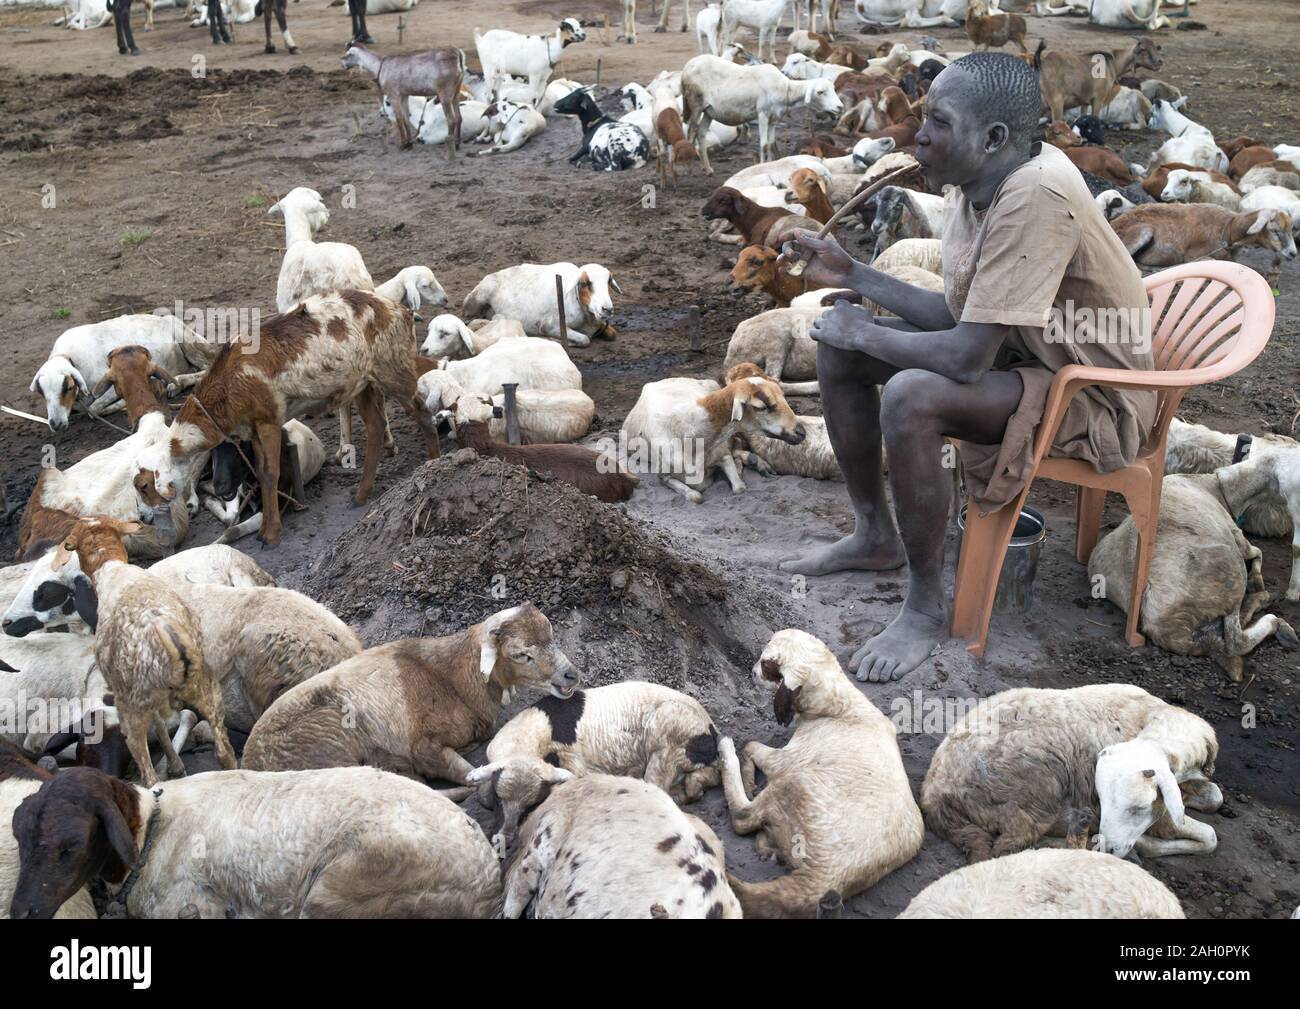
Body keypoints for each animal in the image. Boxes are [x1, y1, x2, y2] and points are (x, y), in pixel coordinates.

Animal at [470, 681, 722, 847]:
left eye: (531, 806)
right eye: (499, 800)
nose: (505, 839)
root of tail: (711, 731)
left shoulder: (574, 763)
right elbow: (482, 793)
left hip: (667, 730)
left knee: (659, 787)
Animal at [722, 634, 925, 920]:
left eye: (766, 664)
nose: (751, 672)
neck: (840, 706)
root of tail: (827, 878)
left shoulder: (784, 761)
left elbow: (750, 745)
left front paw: (748, 776)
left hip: (794, 782)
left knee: (742, 817)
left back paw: (725, 751)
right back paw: (767, 846)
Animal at [920, 676, 1222, 858]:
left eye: (1138, 808)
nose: (1111, 847)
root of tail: (934, 796)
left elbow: (1215, 796)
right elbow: (1209, 836)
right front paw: (1148, 845)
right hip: (1038, 788)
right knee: (1006, 847)